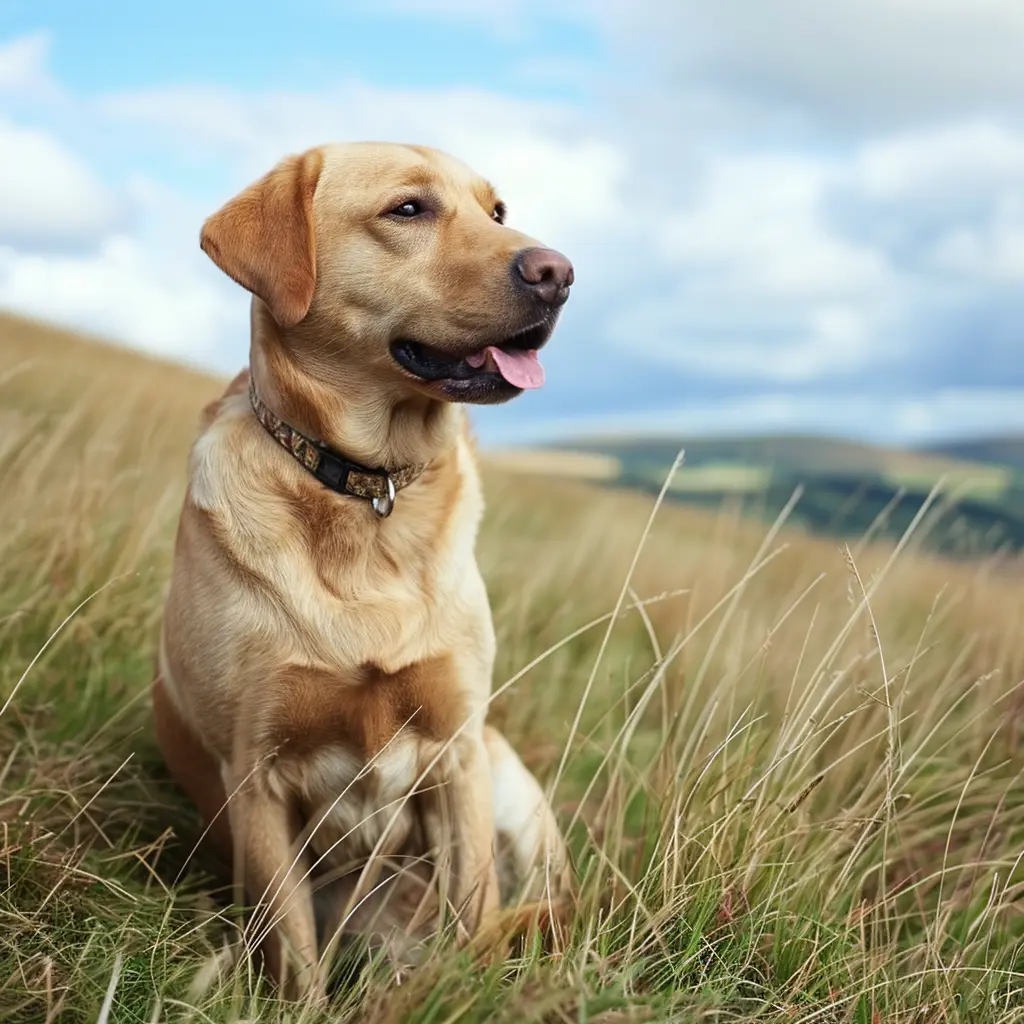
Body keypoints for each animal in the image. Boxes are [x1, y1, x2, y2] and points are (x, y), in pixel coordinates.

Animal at [150, 140, 573, 995]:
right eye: (408, 209)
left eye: (497, 211)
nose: (560, 272)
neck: (366, 490)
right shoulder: (256, 780)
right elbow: (296, 957)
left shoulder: (456, 754)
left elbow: (475, 909)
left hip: (512, 788)